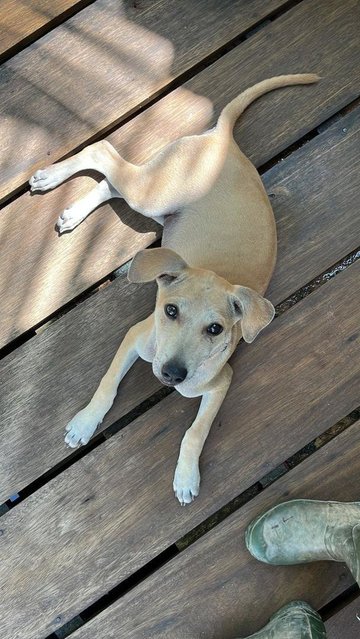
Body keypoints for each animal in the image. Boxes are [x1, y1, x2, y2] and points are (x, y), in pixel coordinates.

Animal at [29, 74, 320, 504]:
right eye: (170, 311)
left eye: (216, 329)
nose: (171, 374)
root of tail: (222, 140)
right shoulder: (136, 336)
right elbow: (107, 385)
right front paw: (84, 423)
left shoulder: (221, 382)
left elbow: (194, 432)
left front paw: (186, 477)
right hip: (153, 194)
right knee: (103, 153)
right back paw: (51, 179)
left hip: (155, 205)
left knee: (111, 183)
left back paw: (71, 212)